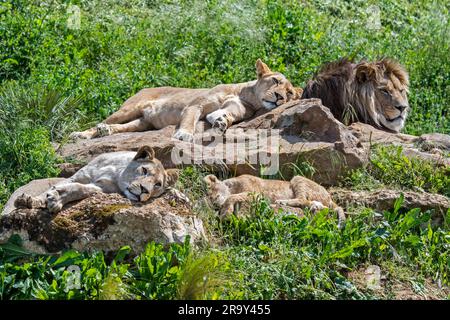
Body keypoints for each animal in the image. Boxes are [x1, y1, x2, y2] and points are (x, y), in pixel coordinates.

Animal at [14, 146, 176, 214]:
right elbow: (50, 189)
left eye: (157, 185)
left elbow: (78, 189)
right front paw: (29, 201)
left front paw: (56, 199)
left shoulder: (102, 188)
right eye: (144, 170)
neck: (115, 173)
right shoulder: (78, 176)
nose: (145, 191)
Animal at [71, 59, 298, 141]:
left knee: (122, 128)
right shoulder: (195, 104)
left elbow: (228, 114)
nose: (279, 97)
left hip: (142, 123)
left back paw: (106, 132)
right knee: (104, 122)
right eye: (275, 81)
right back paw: (82, 134)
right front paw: (184, 135)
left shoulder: (239, 109)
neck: (246, 94)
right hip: (129, 109)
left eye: (289, 93)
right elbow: (189, 120)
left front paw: (221, 122)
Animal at [204, 174, 344, 226]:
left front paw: (225, 213)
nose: (215, 205)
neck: (232, 186)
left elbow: (230, 197)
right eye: (210, 200)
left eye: (214, 196)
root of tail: (329, 196)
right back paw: (315, 206)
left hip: (298, 178)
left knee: (303, 199)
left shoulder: (255, 194)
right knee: (320, 206)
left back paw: (281, 202)